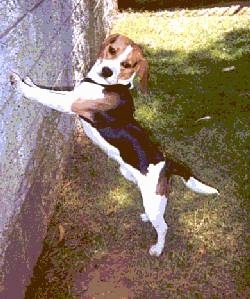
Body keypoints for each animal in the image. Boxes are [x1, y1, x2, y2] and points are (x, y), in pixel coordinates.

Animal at [10, 34, 219, 256]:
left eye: (127, 64)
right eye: (112, 50)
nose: (107, 71)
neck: (106, 84)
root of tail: (167, 162)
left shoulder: (71, 103)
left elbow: (43, 95)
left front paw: (20, 84)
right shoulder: (71, 95)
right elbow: (47, 90)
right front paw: (29, 82)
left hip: (152, 199)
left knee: (163, 227)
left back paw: (157, 248)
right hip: (135, 182)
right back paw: (146, 218)